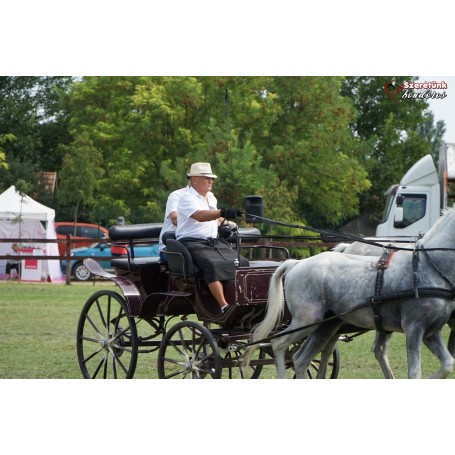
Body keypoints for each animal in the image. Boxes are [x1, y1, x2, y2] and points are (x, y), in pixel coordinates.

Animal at [248, 209, 455, 378]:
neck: (427, 266)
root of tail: (297, 263)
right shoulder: (414, 328)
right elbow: (415, 372)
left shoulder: (431, 331)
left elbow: (448, 363)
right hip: (306, 320)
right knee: (279, 344)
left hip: (326, 325)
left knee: (301, 358)